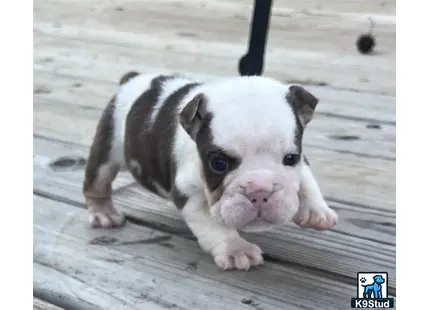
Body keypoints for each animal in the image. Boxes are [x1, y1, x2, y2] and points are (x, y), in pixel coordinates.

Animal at [83, 71, 340, 270]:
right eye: (219, 163)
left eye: (290, 158)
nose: (259, 191)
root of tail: (133, 78)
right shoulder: (190, 195)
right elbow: (214, 226)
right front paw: (236, 249)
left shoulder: (301, 157)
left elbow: (306, 178)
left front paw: (317, 211)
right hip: (108, 146)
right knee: (97, 182)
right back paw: (104, 213)